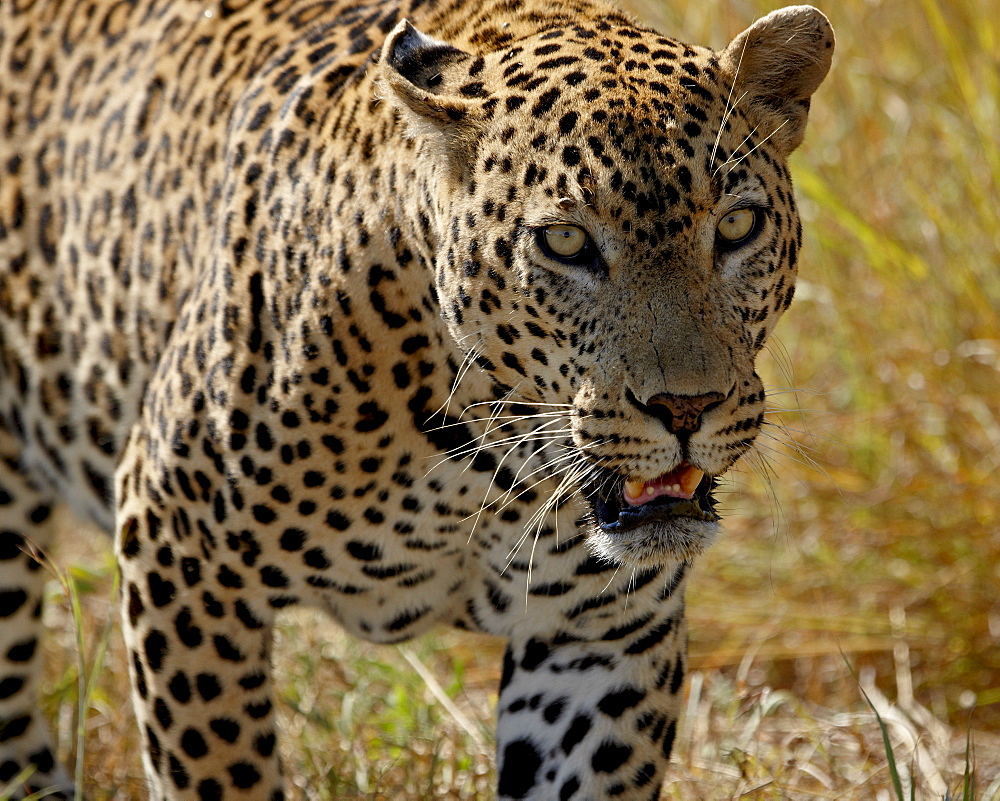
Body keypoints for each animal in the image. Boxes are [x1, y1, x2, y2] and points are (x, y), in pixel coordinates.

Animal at [0, 0, 828, 796]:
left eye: (738, 225)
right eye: (564, 242)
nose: (687, 407)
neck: (488, 461)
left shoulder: (601, 631)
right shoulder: (180, 550)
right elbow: (222, 772)